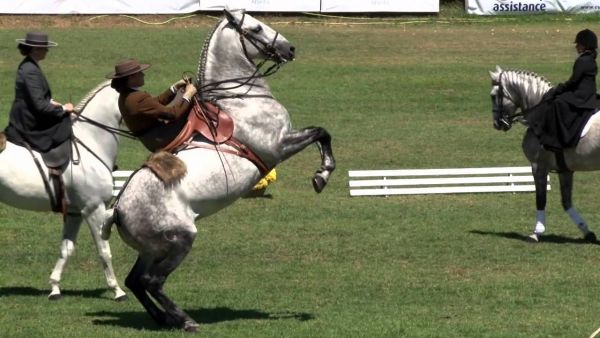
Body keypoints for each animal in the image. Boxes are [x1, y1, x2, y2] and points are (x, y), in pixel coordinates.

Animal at [0, 80, 126, 300]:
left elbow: (66, 249)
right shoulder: (93, 209)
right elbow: (104, 250)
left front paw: (55, 287)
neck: (91, 143)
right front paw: (117, 290)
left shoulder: (75, 212)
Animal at [104, 9, 338, 332]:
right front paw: (321, 176)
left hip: (152, 249)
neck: (241, 99)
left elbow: (321, 133)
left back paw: (164, 319)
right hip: (180, 240)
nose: (289, 49)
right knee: (152, 281)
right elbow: (321, 133)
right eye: (256, 28)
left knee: (136, 281)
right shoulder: (279, 146)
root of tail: (117, 210)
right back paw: (184, 320)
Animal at [490, 64, 596, 243]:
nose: (498, 124)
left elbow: (541, 198)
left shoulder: (538, 166)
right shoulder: (564, 170)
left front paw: (536, 232)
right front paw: (587, 231)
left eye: (493, 96)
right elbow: (566, 201)